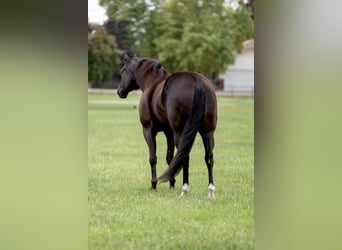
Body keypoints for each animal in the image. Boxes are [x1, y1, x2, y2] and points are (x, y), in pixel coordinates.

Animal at [117, 52, 218, 197]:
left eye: (123, 71)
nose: (119, 91)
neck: (151, 82)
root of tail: (197, 82)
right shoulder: (169, 133)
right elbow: (170, 158)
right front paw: (172, 183)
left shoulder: (148, 131)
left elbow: (153, 158)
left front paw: (154, 184)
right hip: (207, 132)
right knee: (209, 157)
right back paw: (211, 190)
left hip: (181, 133)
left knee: (184, 156)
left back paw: (185, 189)